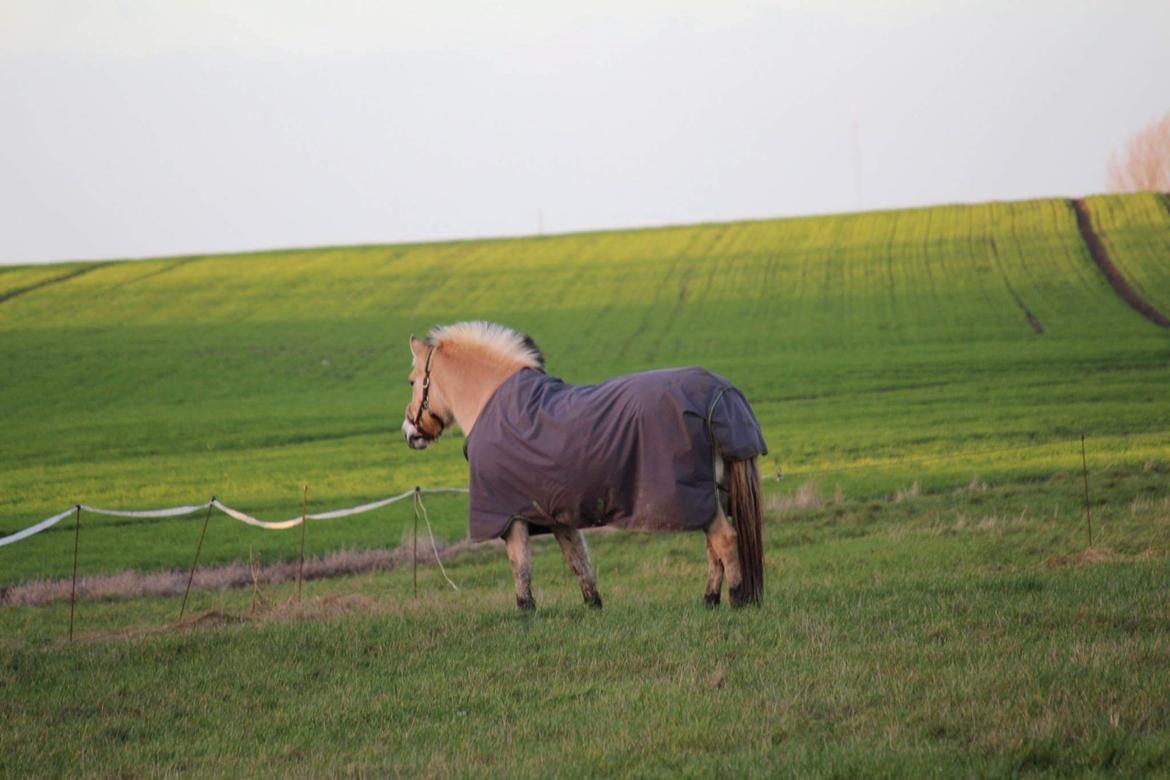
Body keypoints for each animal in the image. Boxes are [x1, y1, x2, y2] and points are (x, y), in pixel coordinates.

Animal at [401, 321, 768, 610]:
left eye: (412, 381)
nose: (408, 433)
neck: (495, 403)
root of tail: (721, 393)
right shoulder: (555, 513)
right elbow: (577, 559)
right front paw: (593, 603)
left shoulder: (511, 516)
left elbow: (521, 564)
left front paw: (525, 610)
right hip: (712, 497)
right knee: (713, 547)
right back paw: (710, 599)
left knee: (724, 540)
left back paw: (736, 599)